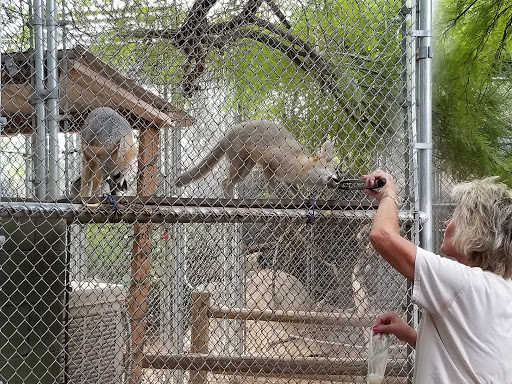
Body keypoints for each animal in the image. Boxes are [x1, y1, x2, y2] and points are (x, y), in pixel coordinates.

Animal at [175, 120, 340, 198]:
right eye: (329, 169)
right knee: (225, 182)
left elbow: (297, 193)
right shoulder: (269, 164)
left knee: (226, 182)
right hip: (239, 164)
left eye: (337, 172)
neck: (298, 164)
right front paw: (273, 199)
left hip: (245, 169)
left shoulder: (287, 179)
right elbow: (271, 189)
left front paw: (303, 199)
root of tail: (227, 133)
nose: (338, 180)